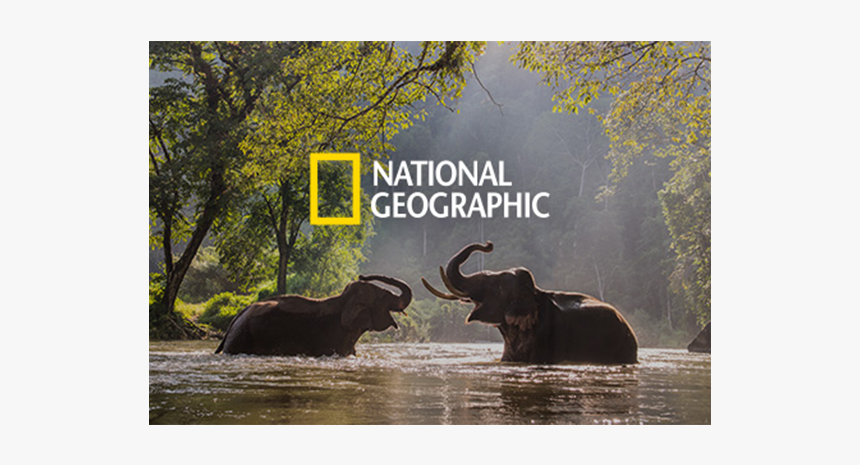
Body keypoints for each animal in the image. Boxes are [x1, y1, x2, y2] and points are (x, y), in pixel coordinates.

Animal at [214, 275, 412, 356]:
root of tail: (236, 317)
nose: (362, 275)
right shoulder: (332, 338)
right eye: (384, 297)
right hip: (241, 338)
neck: (343, 300)